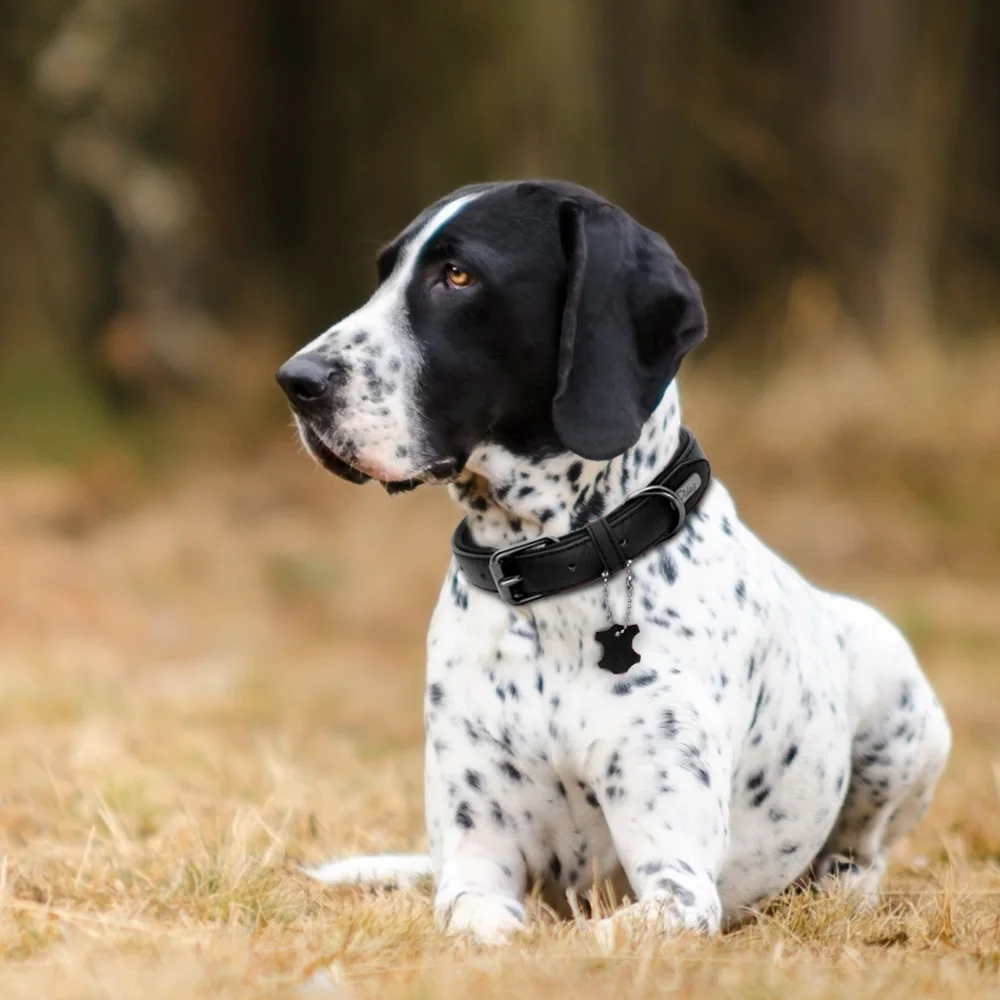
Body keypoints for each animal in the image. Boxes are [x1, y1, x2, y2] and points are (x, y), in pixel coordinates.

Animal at [276, 182, 952, 944]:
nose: (296, 380)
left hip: (897, 688)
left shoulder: (676, 887)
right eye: (384, 272)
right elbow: (487, 922)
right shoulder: (477, 862)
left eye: (458, 275)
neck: (546, 579)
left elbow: (586, 936)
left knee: (863, 855)